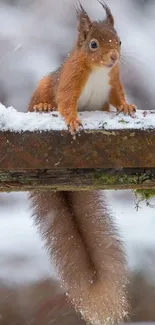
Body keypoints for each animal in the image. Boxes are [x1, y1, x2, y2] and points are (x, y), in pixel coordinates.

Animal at [28, 3, 131, 324]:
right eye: (93, 44)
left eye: (119, 41)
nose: (114, 58)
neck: (99, 71)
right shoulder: (70, 81)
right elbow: (65, 102)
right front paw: (72, 120)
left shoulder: (115, 80)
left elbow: (117, 97)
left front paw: (127, 106)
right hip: (44, 84)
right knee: (44, 99)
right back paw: (41, 106)